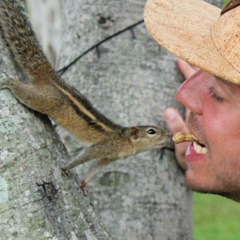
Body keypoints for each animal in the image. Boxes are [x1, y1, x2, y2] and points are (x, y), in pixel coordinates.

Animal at [0, 0, 171, 188]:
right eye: (151, 131)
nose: (170, 135)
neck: (125, 139)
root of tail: (52, 78)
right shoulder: (103, 147)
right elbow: (85, 155)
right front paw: (66, 168)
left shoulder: (108, 158)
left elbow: (94, 169)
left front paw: (84, 185)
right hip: (44, 99)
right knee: (23, 92)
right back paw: (8, 82)